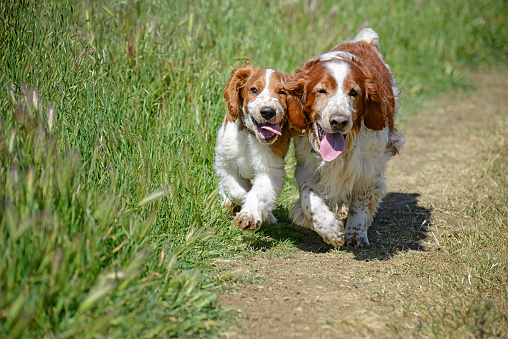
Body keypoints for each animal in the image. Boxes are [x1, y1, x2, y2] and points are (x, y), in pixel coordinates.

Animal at [286, 27, 404, 248]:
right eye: (321, 90)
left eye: (354, 92)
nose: (339, 121)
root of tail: (365, 41)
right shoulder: (307, 167)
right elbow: (309, 198)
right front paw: (330, 229)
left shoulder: (368, 168)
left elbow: (361, 200)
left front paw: (355, 233)